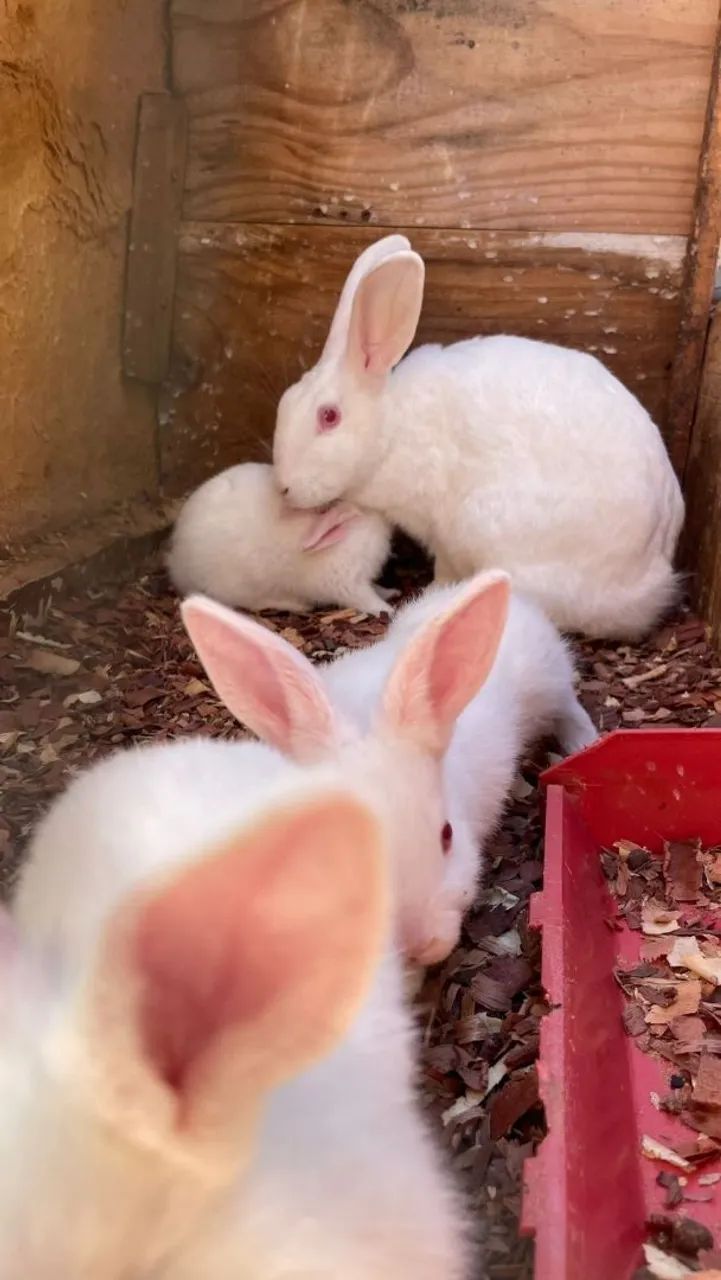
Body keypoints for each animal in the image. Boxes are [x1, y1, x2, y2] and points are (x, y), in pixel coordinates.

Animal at [166, 461, 393, 616]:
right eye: (353, 513)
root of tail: (177, 566)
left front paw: (390, 592)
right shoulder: (347, 584)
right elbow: (367, 600)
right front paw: (388, 610)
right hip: (236, 587)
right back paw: (296, 604)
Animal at [272, 234, 685, 641]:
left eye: (329, 417)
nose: (285, 489)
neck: (392, 426)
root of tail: (649, 584)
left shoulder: (441, 529)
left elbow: (445, 566)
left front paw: (434, 590)